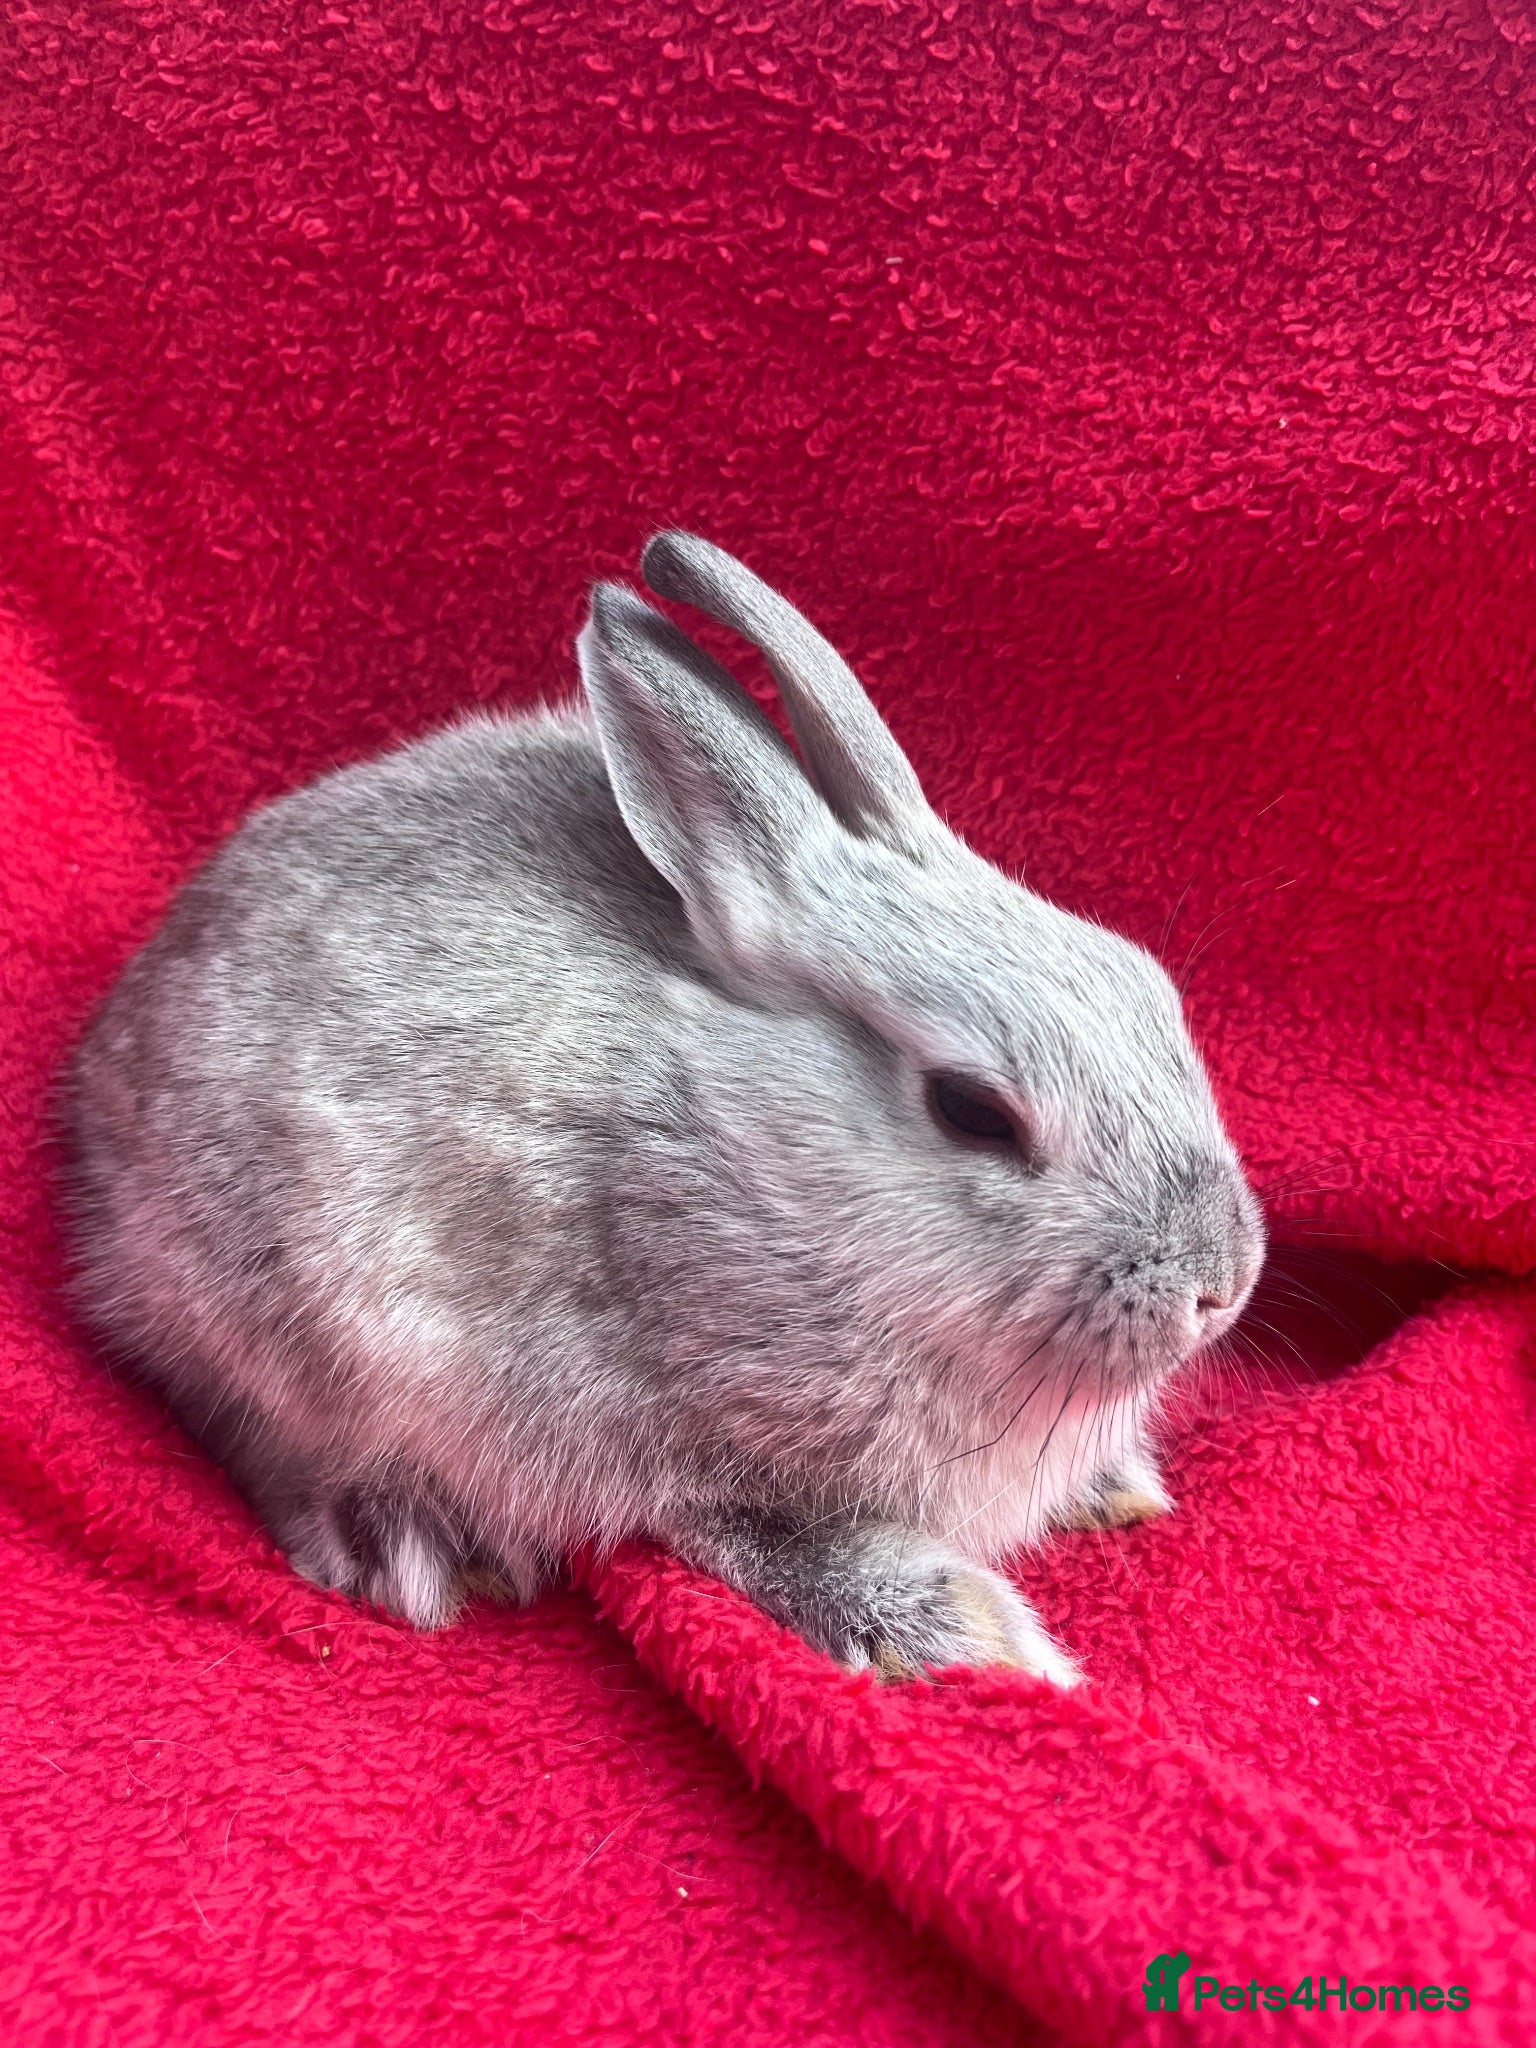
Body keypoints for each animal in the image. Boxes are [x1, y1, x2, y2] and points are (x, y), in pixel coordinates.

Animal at [63, 532, 1264, 1685]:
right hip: (268, 1315)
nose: (1221, 1285)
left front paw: (1115, 1488)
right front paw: (975, 1637)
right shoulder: (668, 1436)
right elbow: (765, 1535)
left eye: (1150, 985)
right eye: (972, 1108)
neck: (759, 1162)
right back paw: (408, 1543)